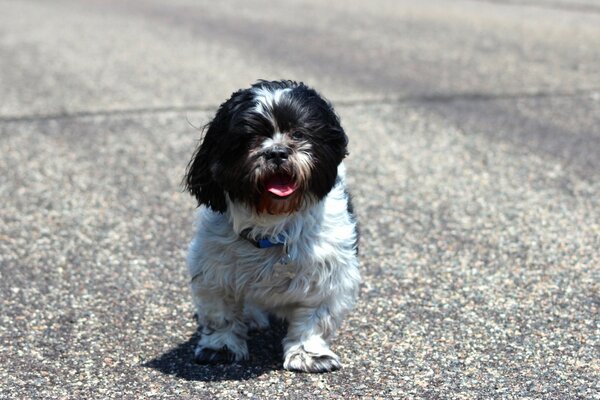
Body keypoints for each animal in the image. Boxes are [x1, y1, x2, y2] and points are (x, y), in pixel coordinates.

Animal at [183, 80, 360, 372]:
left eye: (298, 133)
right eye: (249, 138)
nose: (277, 151)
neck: (274, 226)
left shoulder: (328, 272)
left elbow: (315, 318)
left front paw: (309, 355)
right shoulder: (213, 270)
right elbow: (221, 314)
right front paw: (220, 348)